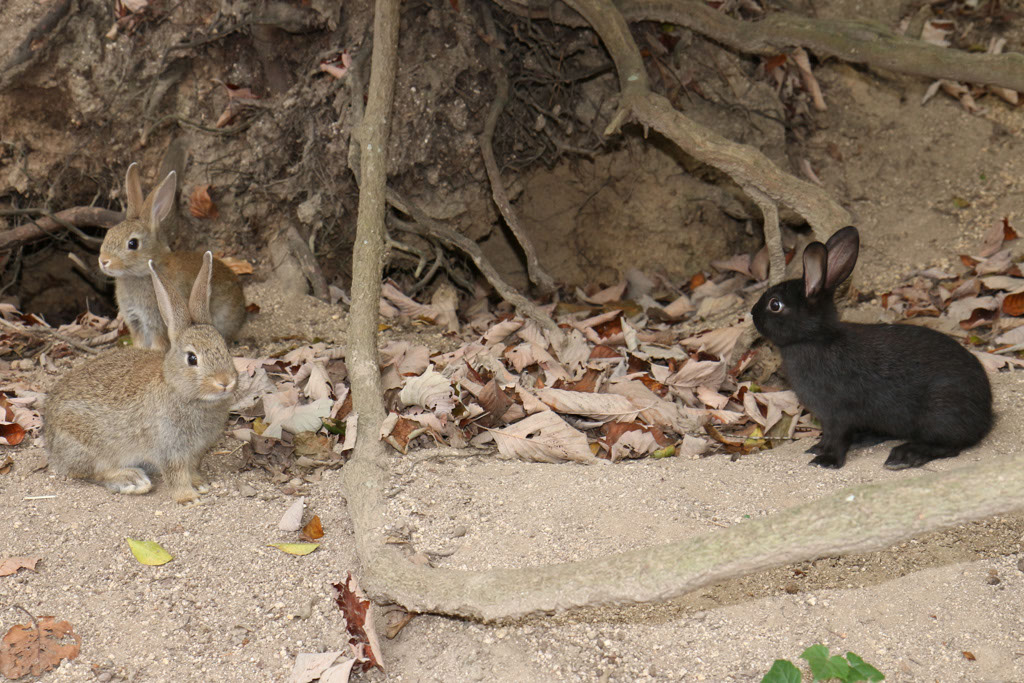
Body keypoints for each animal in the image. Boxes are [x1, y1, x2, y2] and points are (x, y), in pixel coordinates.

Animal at [44, 251, 238, 503]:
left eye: (225, 348)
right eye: (192, 358)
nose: (225, 382)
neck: (176, 388)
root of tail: (49, 438)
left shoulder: (195, 451)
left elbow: (192, 468)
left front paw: (200, 484)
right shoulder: (168, 448)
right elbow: (176, 474)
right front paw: (188, 498)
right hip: (88, 446)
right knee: (92, 472)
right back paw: (132, 480)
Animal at [98, 162, 245, 351]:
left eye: (132, 244)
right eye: (109, 232)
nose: (103, 261)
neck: (143, 273)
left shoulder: (158, 324)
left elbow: (158, 345)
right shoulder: (136, 323)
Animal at [751, 225, 993, 470]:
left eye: (775, 304)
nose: (752, 313)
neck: (816, 339)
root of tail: (986, 415)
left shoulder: (837, 415)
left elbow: (837, 438)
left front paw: (826, 461)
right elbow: (828, 436)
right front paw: (817, 448)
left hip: (940, 412)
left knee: (948, 445)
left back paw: (903, 456)